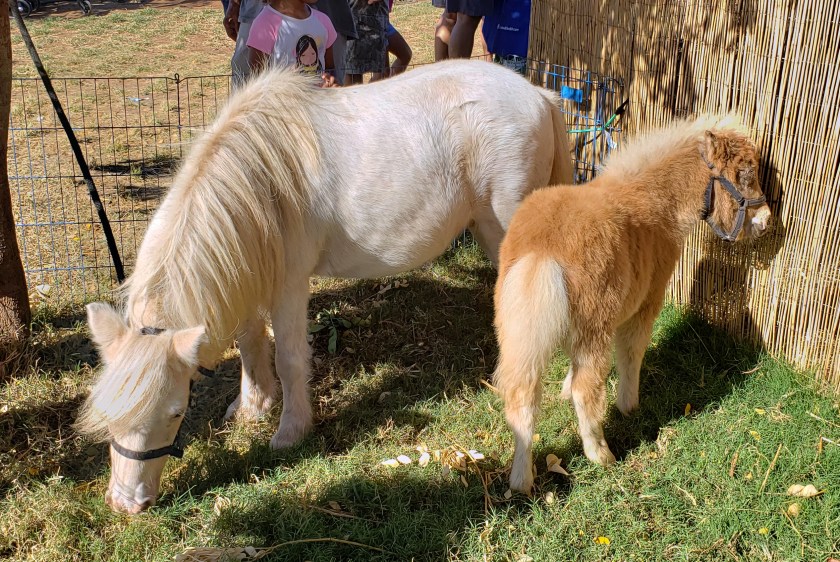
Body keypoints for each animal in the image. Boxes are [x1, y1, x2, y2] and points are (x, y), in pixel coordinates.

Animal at [75, 59, 574, 514]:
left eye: (175, 412)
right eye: (106, 411)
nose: (125, 503)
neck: (260, 179)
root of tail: (539, 95)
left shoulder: (289, 285)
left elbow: (290, 359)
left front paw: (290, 431)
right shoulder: (247, 269)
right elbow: (249, 342)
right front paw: (253, 408)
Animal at [492, 114, 772, 494]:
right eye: (744, 173)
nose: (766, 220)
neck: (655, 202)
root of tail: (543, 248)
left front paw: (563, 390)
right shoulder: (644, 306)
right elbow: (631, 355)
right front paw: (630, 407)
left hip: (515, 333)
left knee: (523, 397)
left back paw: (521, 480)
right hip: (594, 330)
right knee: (586, 389)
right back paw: (601, 455)